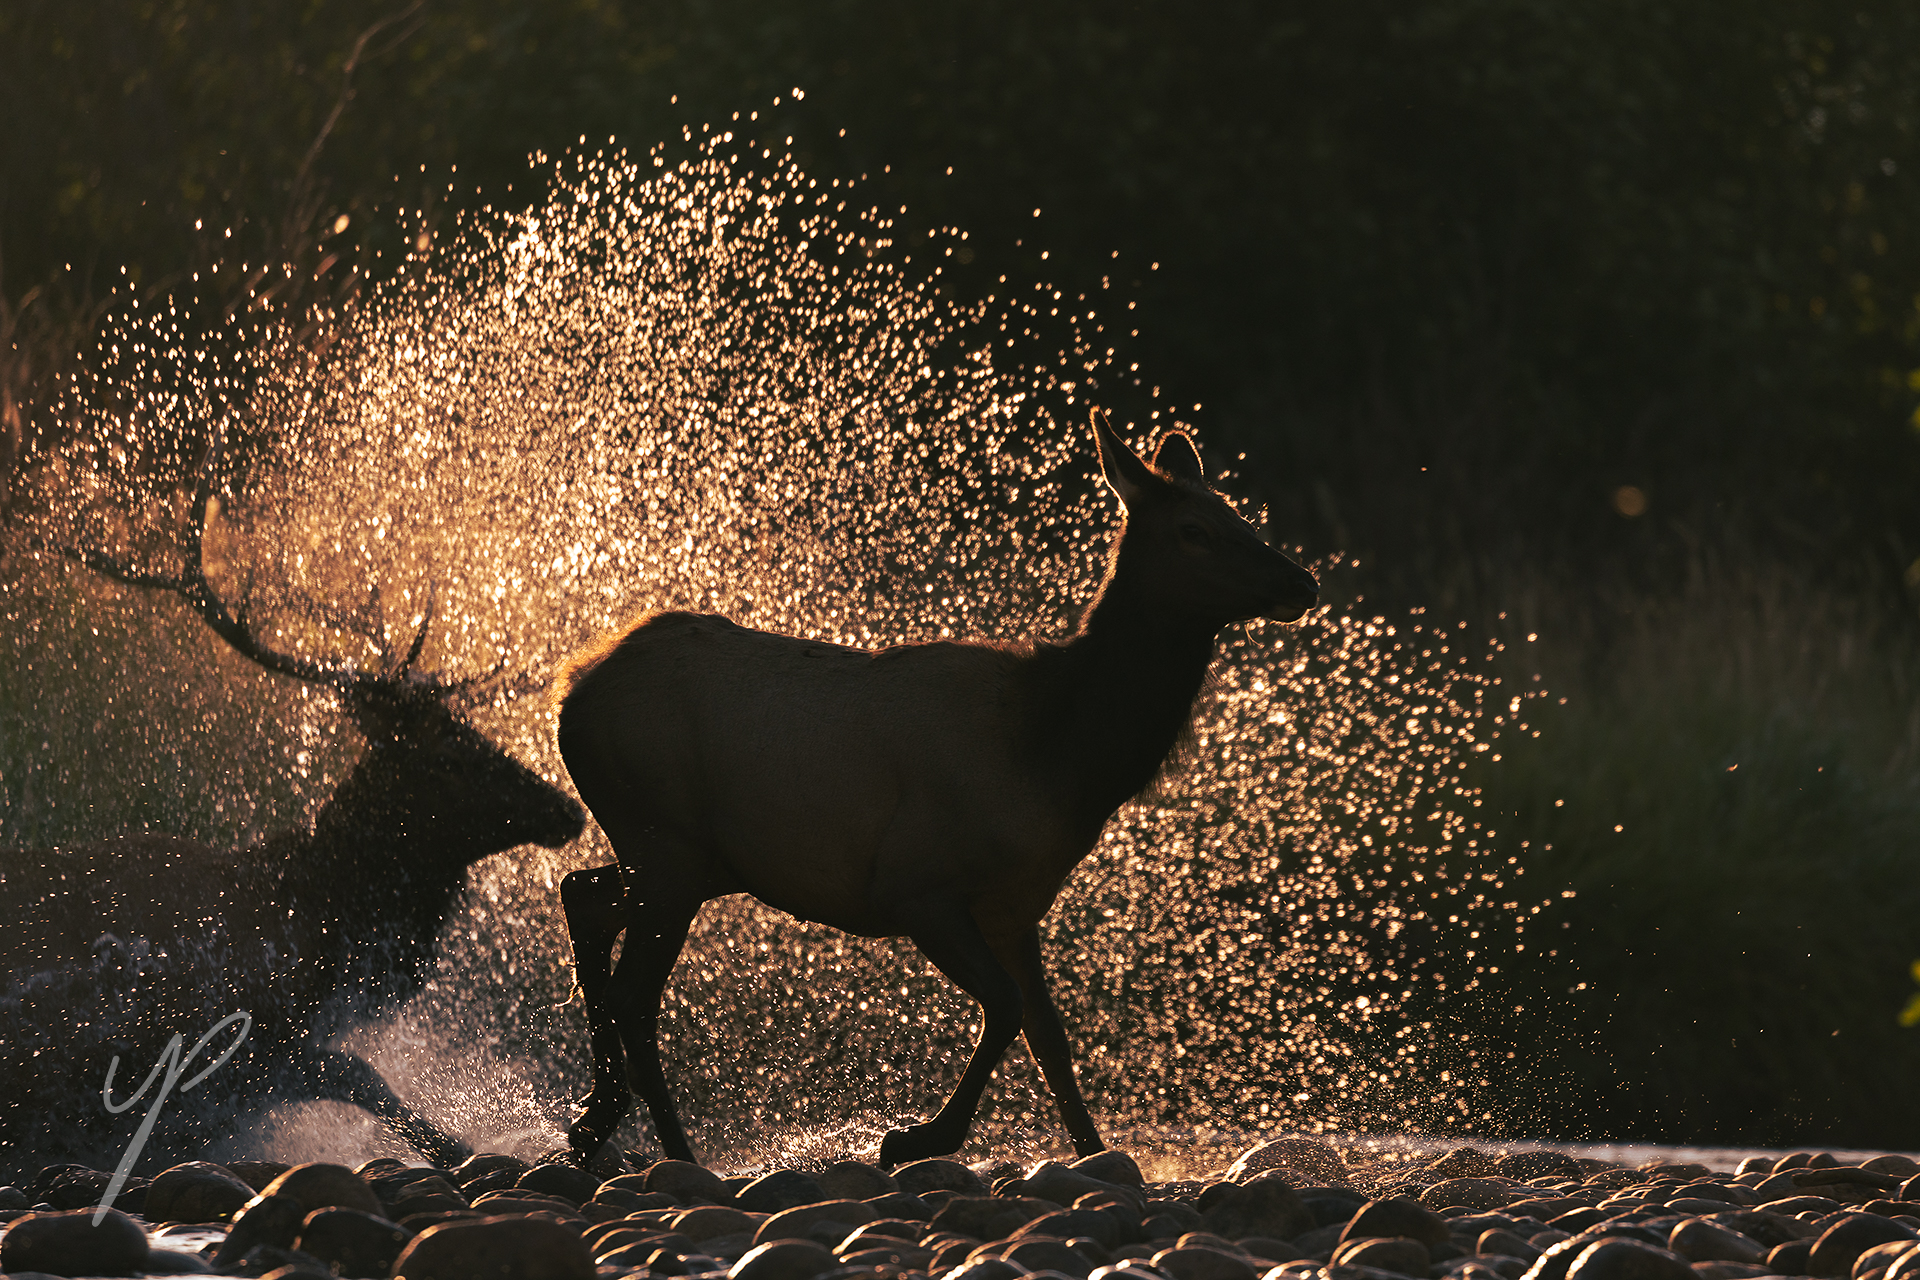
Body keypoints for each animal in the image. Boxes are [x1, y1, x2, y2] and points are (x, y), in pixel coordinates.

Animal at [1, 445, 583, 1174]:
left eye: (471, 729)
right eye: (450, 754)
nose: (568, 808)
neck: (319, 920)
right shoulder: (231, 1035)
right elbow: (359, 1074)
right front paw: (468, 1146)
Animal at [556, 412, 1320, 1174]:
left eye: (1240, 514)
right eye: (1195, 529)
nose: (1303, 580)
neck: (1061, 759)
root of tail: (574, 690)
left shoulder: (1015, 907)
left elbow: (1052, 1039)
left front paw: (1096, 1155)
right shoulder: (917, 887)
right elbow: (1008, 1009)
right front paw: (914, 1138)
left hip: (692, 857)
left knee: (582, 895)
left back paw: (593, 1118)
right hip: (669, 846)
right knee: (633, 994)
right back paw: (675, 1151)